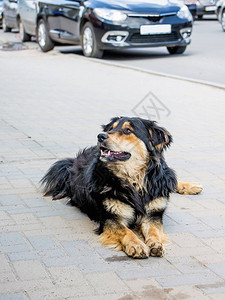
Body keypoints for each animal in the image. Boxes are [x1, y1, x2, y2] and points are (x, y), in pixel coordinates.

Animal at [41, 116, 203, 258]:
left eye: (127, 130)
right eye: (111, 129)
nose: (100, 136)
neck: (135, 181)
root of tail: (73, 162)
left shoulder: (153, 214)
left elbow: (154, 231)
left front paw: (155, 244)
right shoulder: (110, 217)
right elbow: (126, 231)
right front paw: (137, 245)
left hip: (165, 178)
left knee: (170, 180)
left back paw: (191, 186)